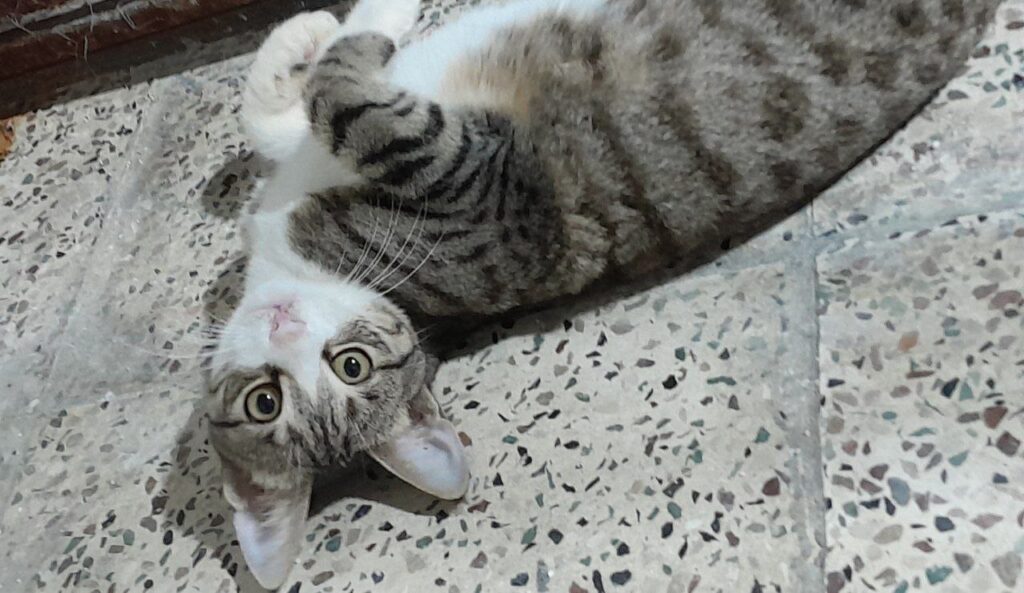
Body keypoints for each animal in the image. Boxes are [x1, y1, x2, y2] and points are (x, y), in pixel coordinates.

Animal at [207, 0, 999, 587]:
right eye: (269, 402)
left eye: (350, 365)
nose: (283, 327)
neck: (308, 264)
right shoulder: (470, 177)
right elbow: (334, 87)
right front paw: (339, 30)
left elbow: (297, 105)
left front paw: (303, 36)